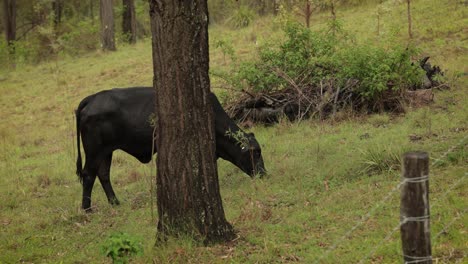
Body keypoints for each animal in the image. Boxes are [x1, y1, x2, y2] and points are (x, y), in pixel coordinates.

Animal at [77, 87, 266, 211]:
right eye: (256, 153)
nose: (263, 174)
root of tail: (92, 98)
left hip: (106, 151)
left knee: (103, 174)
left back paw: (115, 202)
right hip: (94, 151)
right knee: (88, 175)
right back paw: (87, 209)